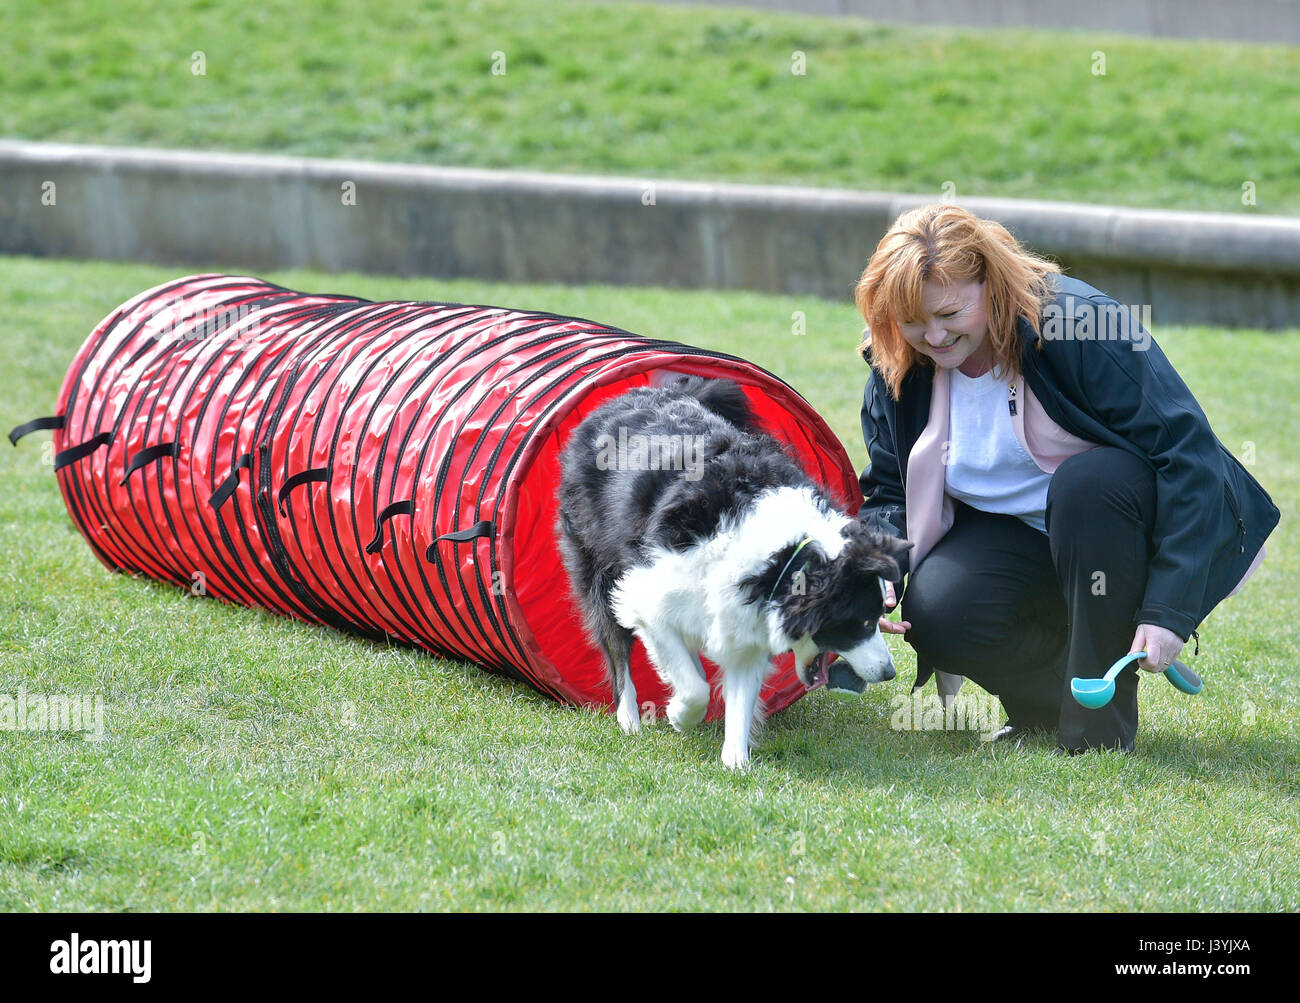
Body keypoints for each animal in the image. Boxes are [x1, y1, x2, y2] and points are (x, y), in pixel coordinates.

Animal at [553, 374, 909, 769]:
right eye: (862, 622)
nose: (890, 672)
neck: (787, 556)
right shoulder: (645, 590)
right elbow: (694, 685)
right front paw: (680, 714)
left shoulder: (745, 619)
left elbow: (739, 695)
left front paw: (736, 763)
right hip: (596, 560)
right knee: (616, 645)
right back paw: (629, 718)